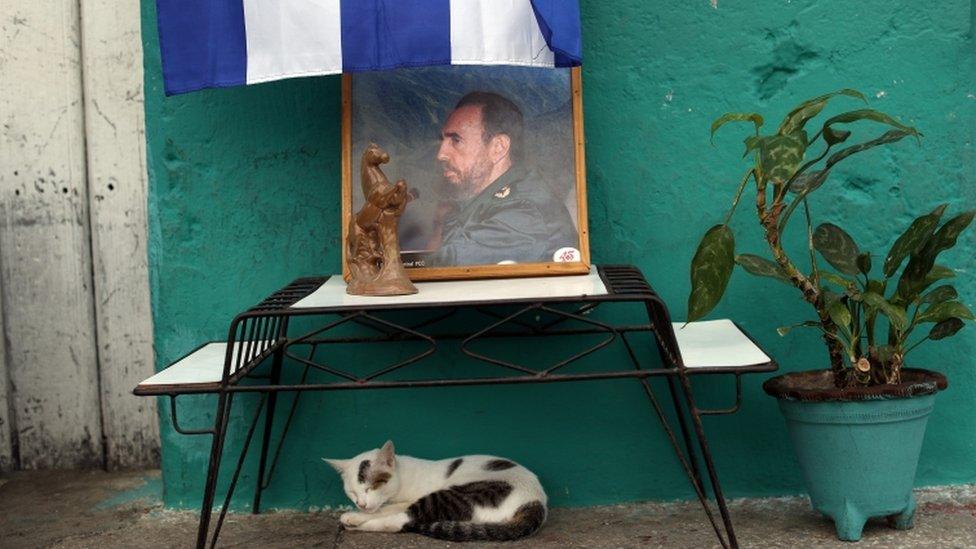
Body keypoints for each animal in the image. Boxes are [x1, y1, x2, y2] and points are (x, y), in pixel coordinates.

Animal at [322, 440, 544, 540]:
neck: (403, 476)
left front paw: (354, 515)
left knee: (399, 521)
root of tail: (537, 501)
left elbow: (386, 509)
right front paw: (358, 512)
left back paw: (354, 526)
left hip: (452, 495)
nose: (360, 503)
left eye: (371, 487)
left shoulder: (406, 500)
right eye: (352, 492)